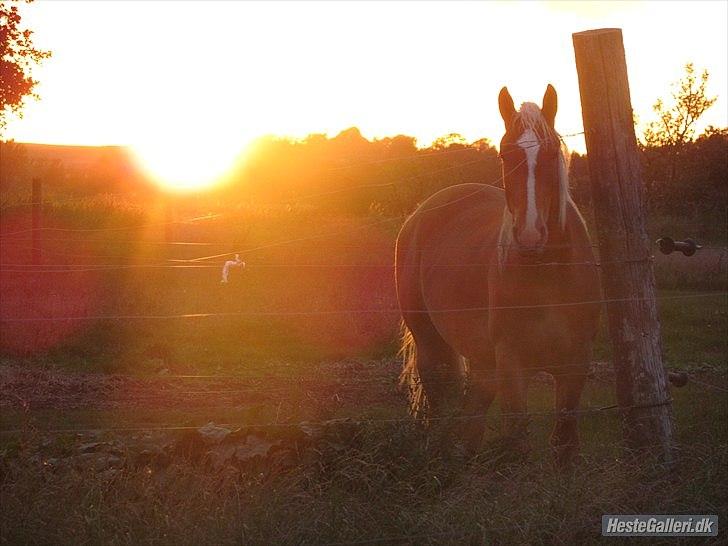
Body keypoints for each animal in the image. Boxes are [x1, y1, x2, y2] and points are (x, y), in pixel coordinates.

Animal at [396, 85, 600, 464]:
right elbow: (517, 441)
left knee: (470, 424)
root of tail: (422, 212)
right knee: (442, 411)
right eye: (505, 155)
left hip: (482, 363)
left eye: (552, 153)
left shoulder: (575, 364)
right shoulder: (511, 365)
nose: (531, 236)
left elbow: (564, 444)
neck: (547, 277)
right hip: (432, 345)